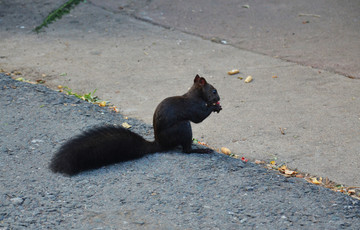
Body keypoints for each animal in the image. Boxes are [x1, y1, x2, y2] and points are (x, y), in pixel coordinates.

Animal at [49, 74, 221, 175]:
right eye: (214, 91)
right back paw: (200, 151)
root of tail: (160, 143)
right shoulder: (193, 107)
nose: (219, 98)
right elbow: (199, 117)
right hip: (183, 127)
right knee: (186, 150)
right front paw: (215, 107)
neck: (195, 94)